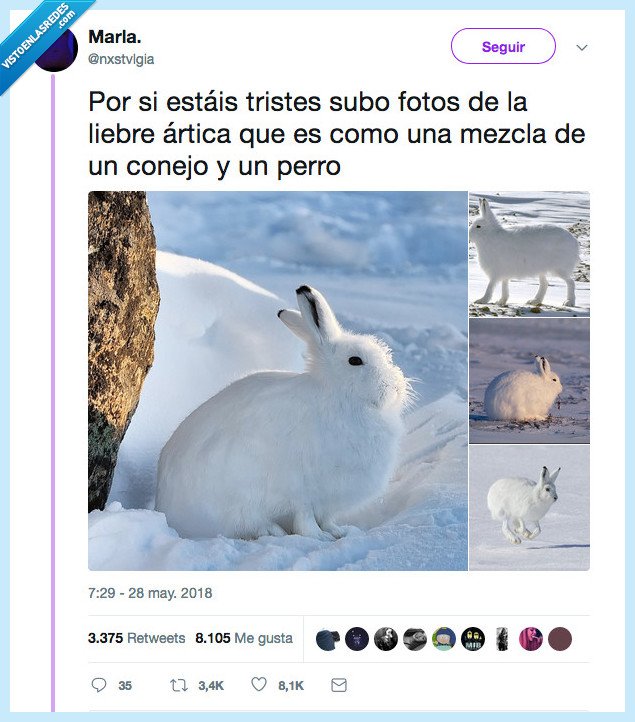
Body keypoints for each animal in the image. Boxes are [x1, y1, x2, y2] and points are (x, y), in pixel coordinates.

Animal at [155, 285, 412, 541]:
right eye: (355, 361)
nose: (396, 388)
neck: (336, 394)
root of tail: (168, 512)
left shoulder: (327, 500)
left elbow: (327, 518)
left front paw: (339, 532)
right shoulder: (302, 490)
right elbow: (305, 517)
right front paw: (319, 537)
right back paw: (274, 531)